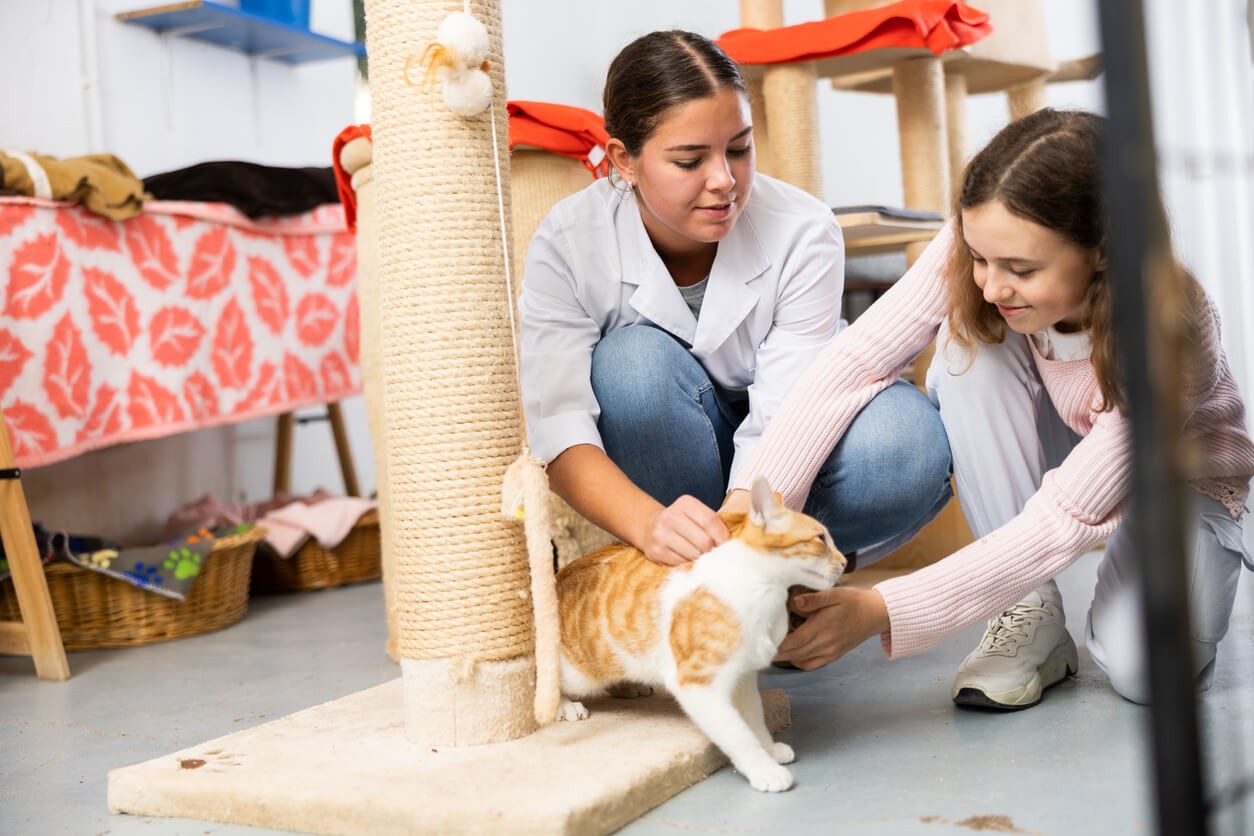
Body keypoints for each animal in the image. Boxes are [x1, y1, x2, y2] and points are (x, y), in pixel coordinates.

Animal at [556, 476, 842, 792]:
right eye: (820, 539)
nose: (844, 562)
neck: (765, 591)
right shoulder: (698, 685)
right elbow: (738, 733)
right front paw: (764, 770)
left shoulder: (743, 678)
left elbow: (755, 720)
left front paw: (769, 750)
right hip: (579, 673)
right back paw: (565, 706)